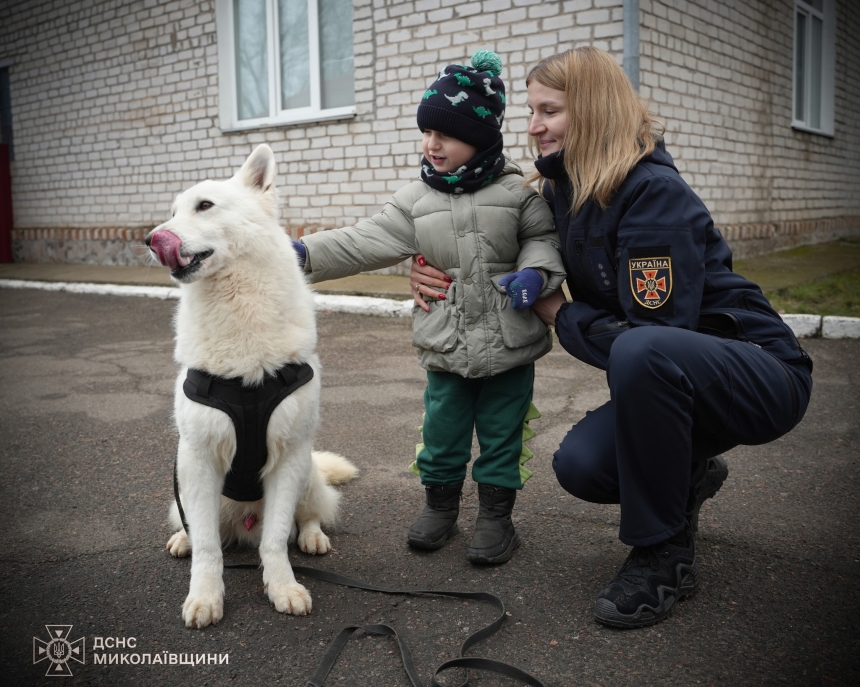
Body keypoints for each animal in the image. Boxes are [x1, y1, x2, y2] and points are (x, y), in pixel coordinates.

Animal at [146, 144, 354, 628]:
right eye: (172, 212)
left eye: (204, 206)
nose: (151, 239)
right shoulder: (197, 459)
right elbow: (208, 547)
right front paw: (205, 596)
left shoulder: (288, 457)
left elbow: (276, 540)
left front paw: (282, 587)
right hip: (182, 490)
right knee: (200, 529)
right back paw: (183, 540)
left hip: (307, 471)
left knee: (308, 515)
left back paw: (312, 537)